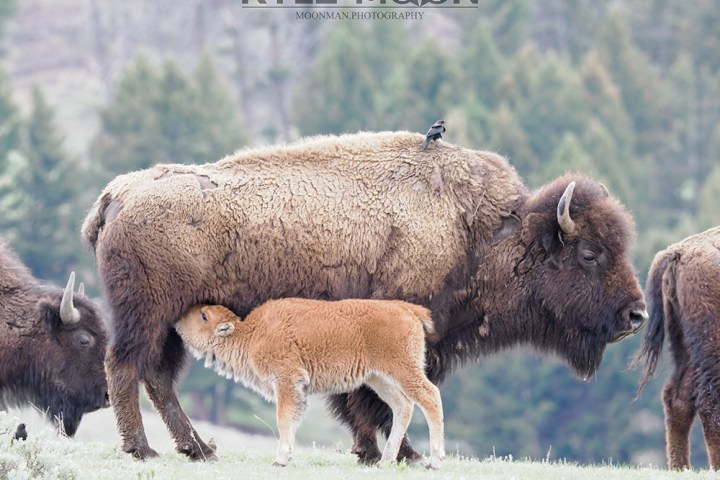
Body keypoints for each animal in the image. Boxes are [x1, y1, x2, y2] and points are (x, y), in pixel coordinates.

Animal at [176, 300, 444, 468]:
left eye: (204, 316)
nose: (178, 318)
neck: (252, 333)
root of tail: (406, 308)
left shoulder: (286, 380)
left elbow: (284, 419)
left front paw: (280, 460)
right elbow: (293, 419)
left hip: (403, 370)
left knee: (430, 397)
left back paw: (435, 461)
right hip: (379, 379)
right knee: (403, 406)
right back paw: (385, 461)